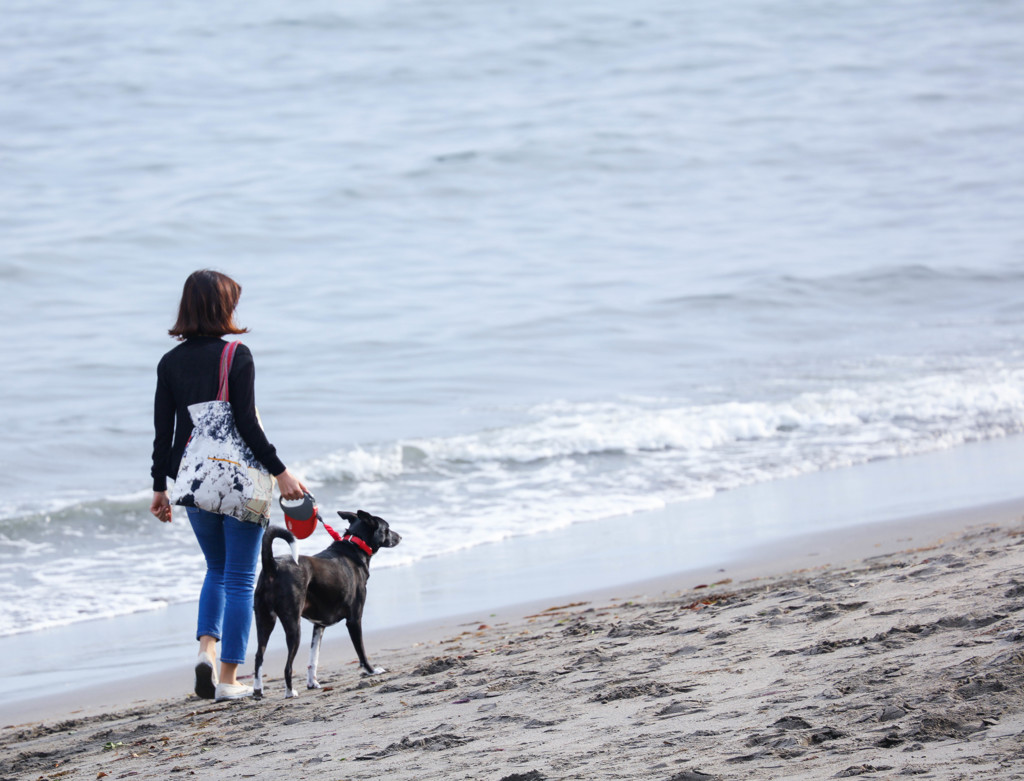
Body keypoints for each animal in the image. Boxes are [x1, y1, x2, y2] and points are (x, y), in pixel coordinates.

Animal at [253, 509, 401, 700]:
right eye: (387, 529)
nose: (400, 536)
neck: (355, 545)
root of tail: (272, 565)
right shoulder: (354, 620)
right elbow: (361, 651)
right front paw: (372, 670)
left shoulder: (319, 625)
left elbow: (313, 658)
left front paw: (312, 683)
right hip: (293, 625)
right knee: (287, 666)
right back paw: (289, 692)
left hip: (263, 620)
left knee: (259, 656)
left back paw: (258, 691)